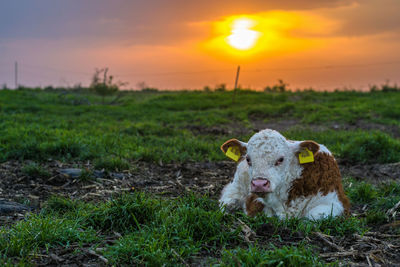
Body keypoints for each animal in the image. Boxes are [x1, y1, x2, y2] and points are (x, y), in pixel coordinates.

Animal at [219, 129, 350, 220]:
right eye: (248, 159)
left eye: (281, 159)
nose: (259, 184)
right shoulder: (254, 199)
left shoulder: (338, 202)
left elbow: (316, 215)